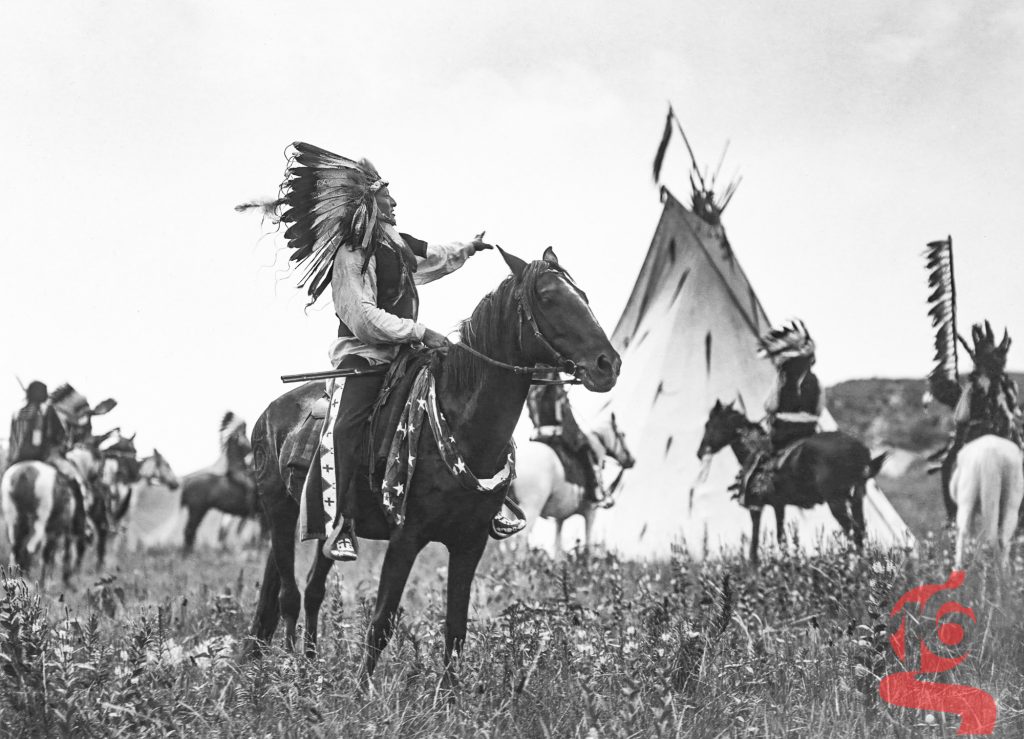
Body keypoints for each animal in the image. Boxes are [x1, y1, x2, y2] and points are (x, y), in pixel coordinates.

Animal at [245, 248, 619, 686]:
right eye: (547, 297)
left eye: (583, 295)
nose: (608, 364)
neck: (460, 424)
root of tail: (270, 414)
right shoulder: (406, 538)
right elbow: (382, 622)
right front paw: (362, 691)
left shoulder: (469, 544)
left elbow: (455, 629)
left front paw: (451, 694)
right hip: (280, 511)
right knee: (288, 594)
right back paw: (292, 673)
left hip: (320, 523)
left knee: (308, 589)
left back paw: (299, 663)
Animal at [513, 411, 634, 556]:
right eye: (623, 434)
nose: (632, 460)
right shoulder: (590, 512)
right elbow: (589, 546)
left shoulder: (560, 517)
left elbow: (558, 546)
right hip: (531, 507)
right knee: (522, 536)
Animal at [697, 400, 886, 564]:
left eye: (708, 424)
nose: (700, 452)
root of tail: (858, 448)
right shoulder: (779, 505)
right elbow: (780, 537)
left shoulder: (756, 507)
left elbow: (754, 543)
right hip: (857, 497)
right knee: (860, 530)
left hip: (836, 502)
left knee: (853, 531)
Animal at [949, 434, 1024, 568]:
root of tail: (991, 454)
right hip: (1012, 501)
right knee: (1003, 539)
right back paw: (1002, 570)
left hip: (967, 497)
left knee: (963, 533)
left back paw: (960, 567)